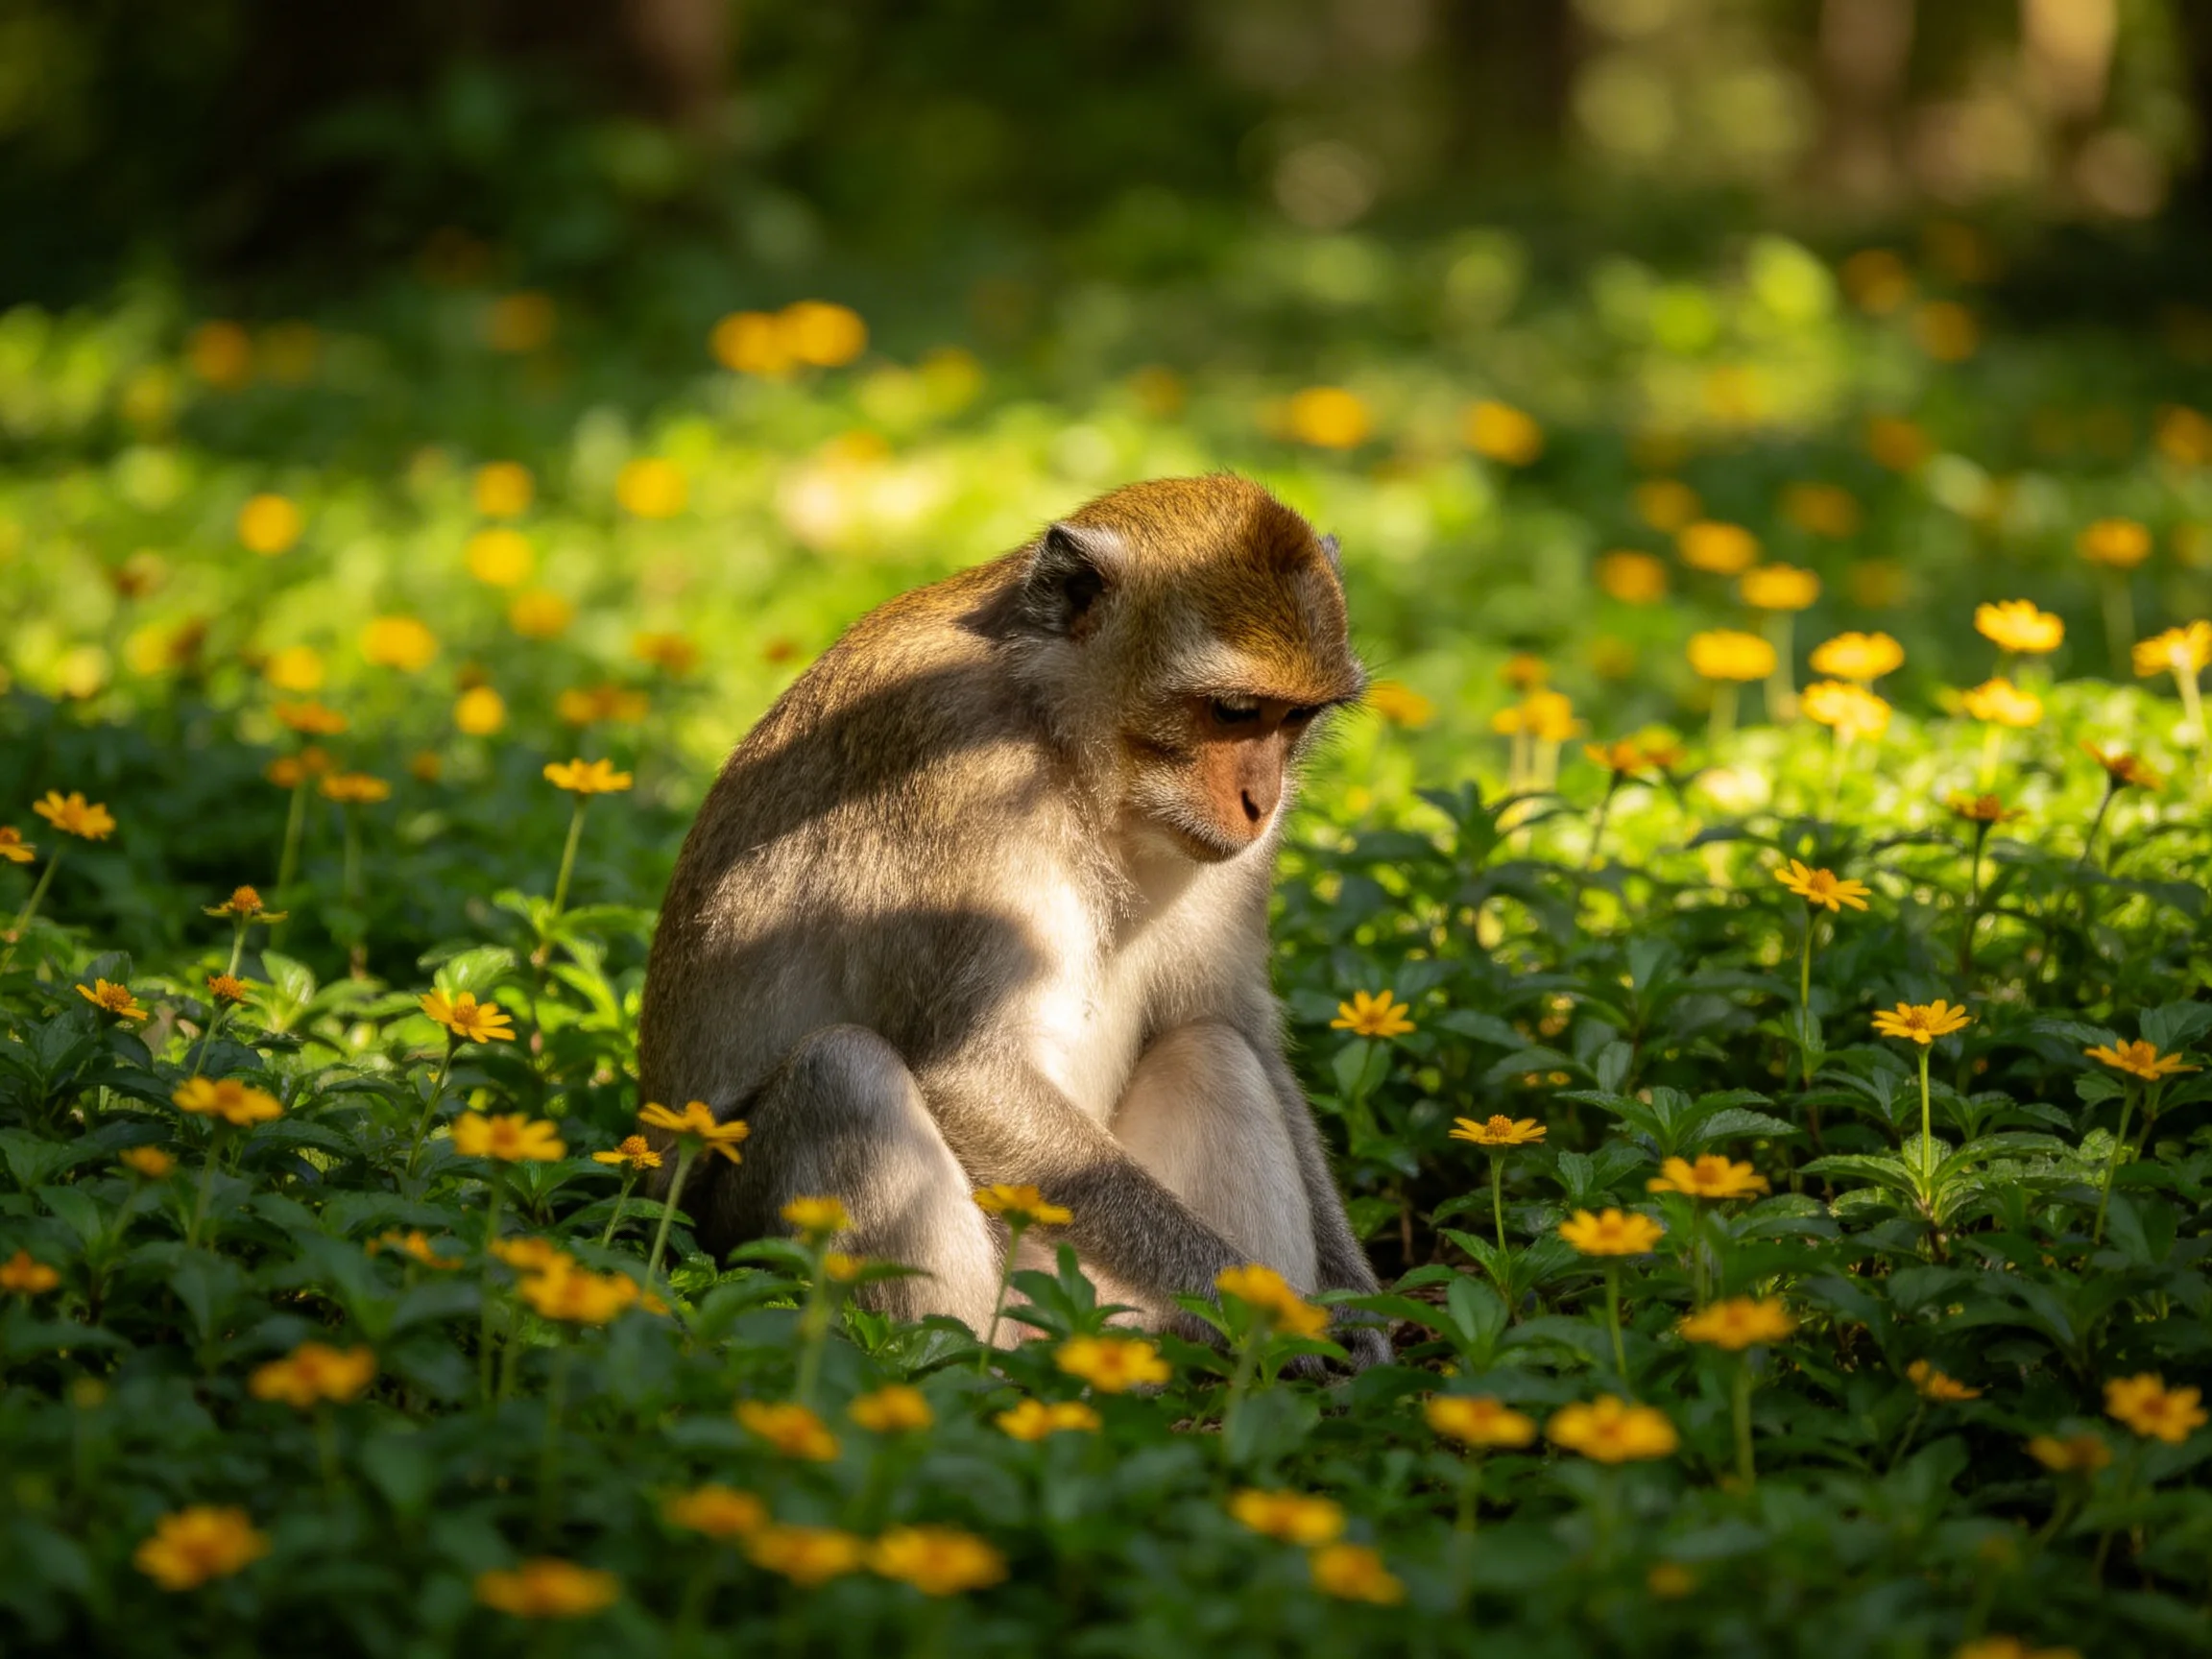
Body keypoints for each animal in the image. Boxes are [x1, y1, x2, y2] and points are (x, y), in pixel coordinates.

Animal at [636, 474, 1389, 1367]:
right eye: (1233, 711)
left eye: (1292, 720)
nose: (1260, 800)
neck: (1063, 737)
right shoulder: (956, 757)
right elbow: (971, 1070)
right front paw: (1273, 1320)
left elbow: (1239, 1027)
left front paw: (1351, 1312)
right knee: (841, 1073)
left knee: (1212, 1047)